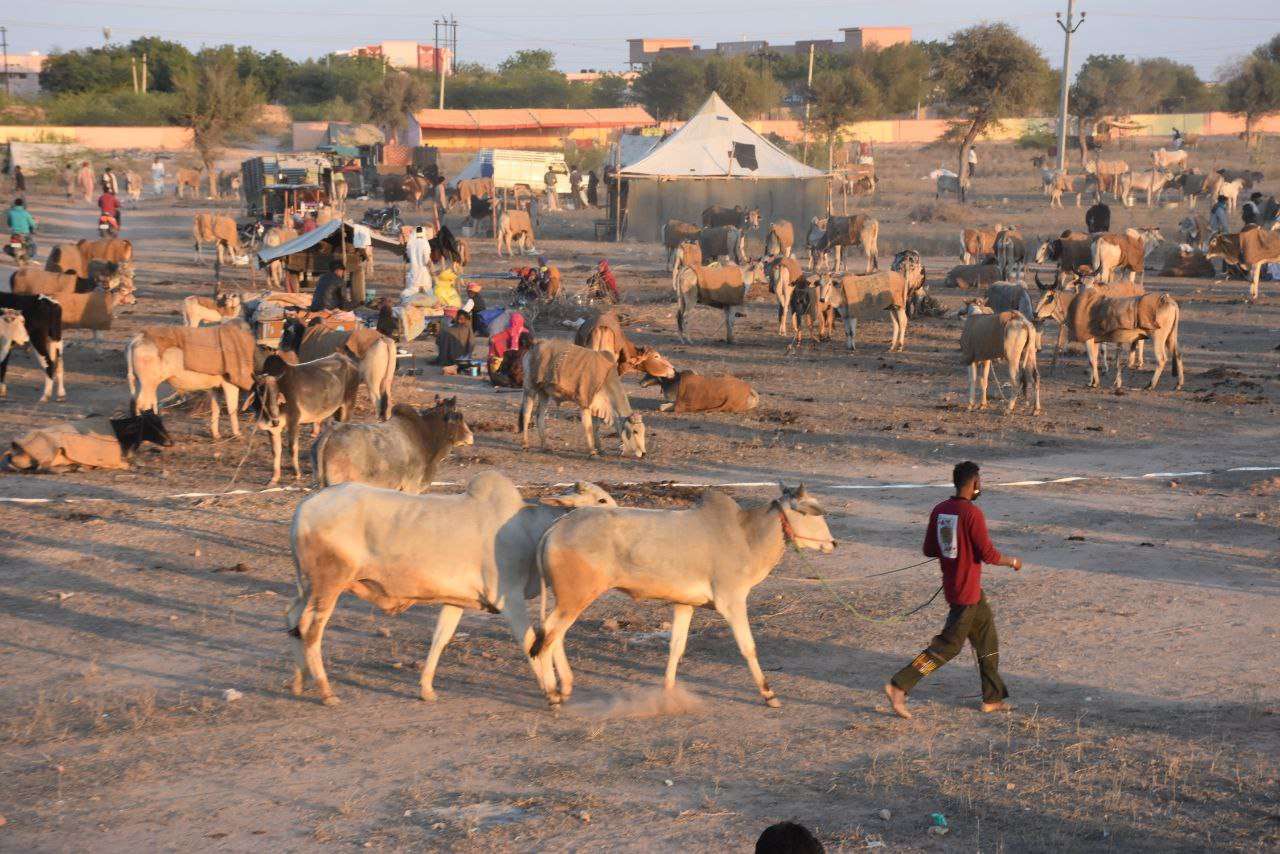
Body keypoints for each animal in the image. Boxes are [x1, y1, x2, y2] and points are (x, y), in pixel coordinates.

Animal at [256, 350, 363, 483]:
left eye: (277, 394)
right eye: (261, 393)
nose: (274, 420)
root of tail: (349, 361)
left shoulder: (293, 422)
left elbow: (292, 448)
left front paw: (297, 473)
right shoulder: (272, 430)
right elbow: (275, 451)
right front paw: (274, 478)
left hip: (348, 406)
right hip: (338, 411)